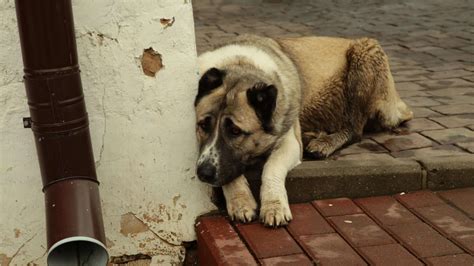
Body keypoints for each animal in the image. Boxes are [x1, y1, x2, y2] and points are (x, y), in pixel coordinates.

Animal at [194, 34, 412, 227]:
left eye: (235, 131)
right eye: (203, 125)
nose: (202, 173)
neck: (240, 65)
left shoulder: (289, 142)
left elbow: (271, 168)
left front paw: (274, 206)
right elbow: (228, 174)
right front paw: (240, 201)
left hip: (364, 55)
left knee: (355, 129)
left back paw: (324, 143)